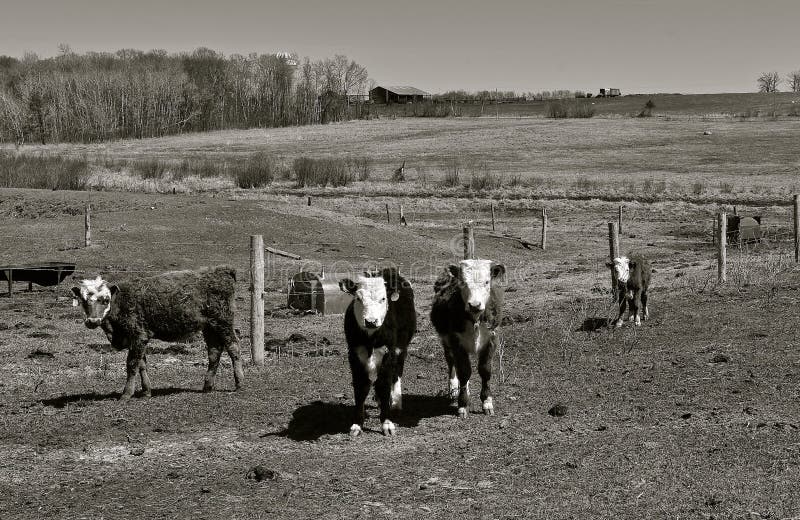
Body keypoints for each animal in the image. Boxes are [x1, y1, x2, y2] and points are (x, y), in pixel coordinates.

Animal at [74, 266, 244, 400]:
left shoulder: (138, 336)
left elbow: (132, 364)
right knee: (214, 351)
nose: (92, 321)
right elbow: (142, 364)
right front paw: (146, 392)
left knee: (233, 347)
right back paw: (207, 386)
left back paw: (240, 383)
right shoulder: (137, 339)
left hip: (224, 322)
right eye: (83, 300)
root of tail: (222, 270)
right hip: (210, 327)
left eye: (105, 300)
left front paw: (126, 394)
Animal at [340, 268, 416, 434]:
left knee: (397, 374)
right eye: (358, 298)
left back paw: (396, 403)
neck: (371, 338)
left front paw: (386, 423)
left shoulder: (388, 353)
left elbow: (384, 384)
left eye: (383, 298)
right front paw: (357, 424)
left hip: (401, 349)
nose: (371, 321)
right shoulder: (354, 354)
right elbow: (361, 386)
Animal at [428, 260, 504, 418]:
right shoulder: (456, 343)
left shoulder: (491, 340)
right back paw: (454, 389)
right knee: (452, 363)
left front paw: (487, 403)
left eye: (487, 282)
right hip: (446, 342)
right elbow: (463, 371)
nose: (474, 305)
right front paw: (463, 405)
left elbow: (485, 371)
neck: (475, 319)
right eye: (463, 282)